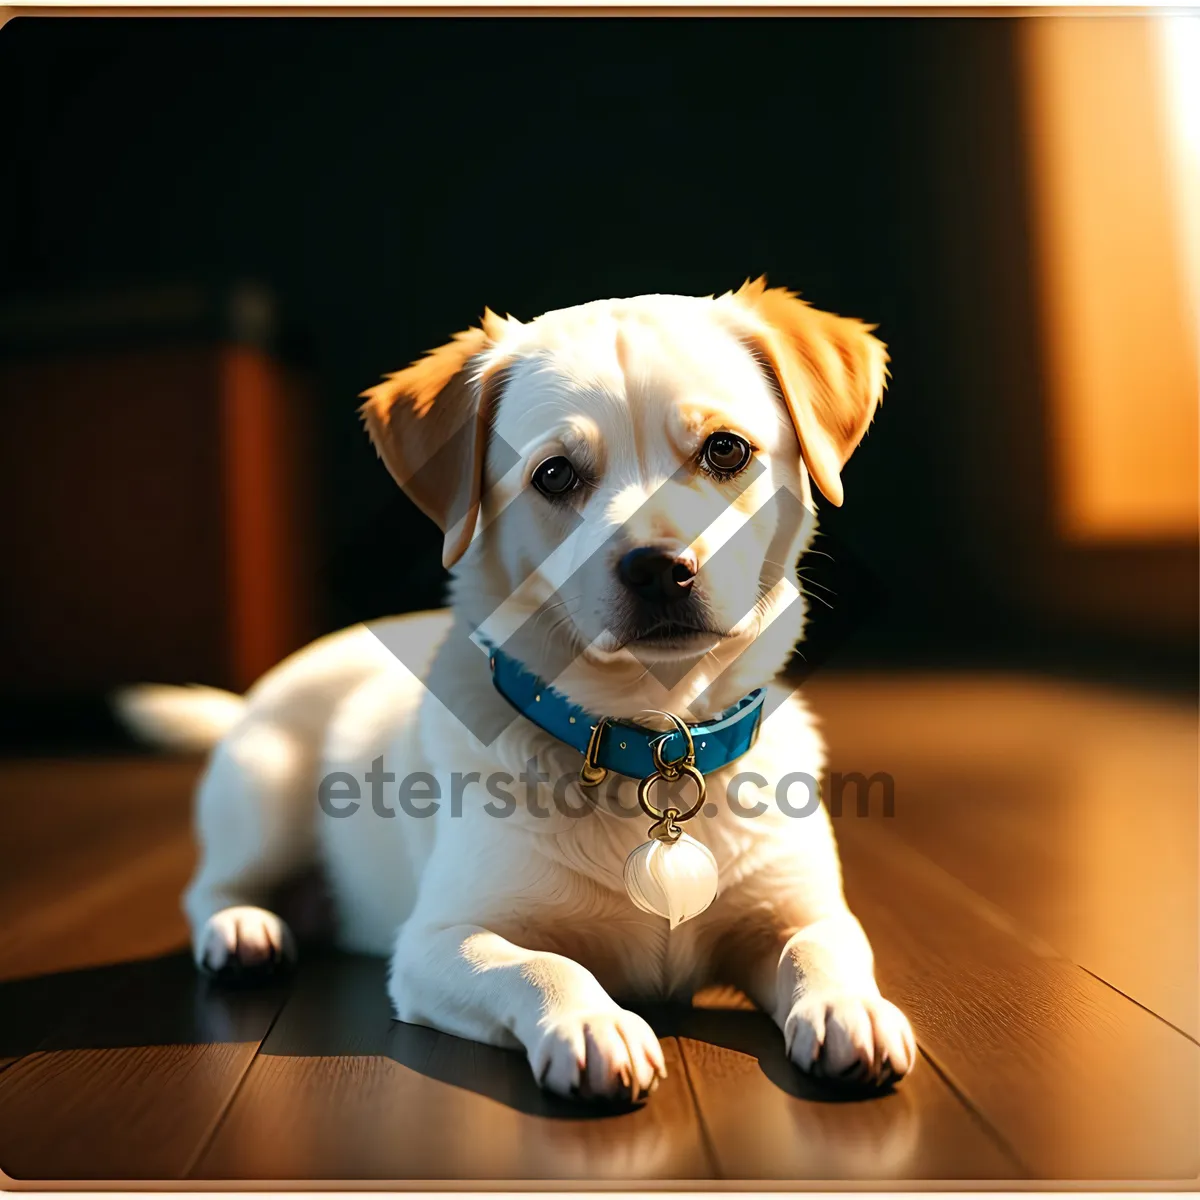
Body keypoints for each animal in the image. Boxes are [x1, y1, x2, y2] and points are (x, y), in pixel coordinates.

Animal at [119, 276, 907, 1099]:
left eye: (726, 449)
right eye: (554, 474)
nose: (660, 568)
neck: (652, 742)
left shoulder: (799, 910)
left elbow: (823, 948)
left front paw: (849, 1007)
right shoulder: (437, 944)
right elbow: (544, 967)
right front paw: (592, 1024)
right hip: (263, 798)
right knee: (213, 886)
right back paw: (244, 929)